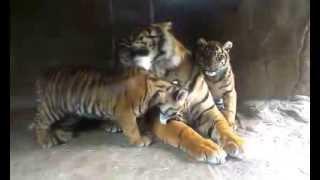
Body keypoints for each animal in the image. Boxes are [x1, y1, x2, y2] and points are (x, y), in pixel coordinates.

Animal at [29, 65, 188, 148]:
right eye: (181, 111)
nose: (185, 121)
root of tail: (44, 75)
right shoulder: (126, 113)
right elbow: (133, 128)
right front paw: (140, 140)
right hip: (53, 108)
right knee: (40, 121)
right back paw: (45, 141)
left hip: (71, 113)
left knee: (63, 124)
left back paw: (64, 136)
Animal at [117, 21, 245, 162]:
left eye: (134, 39)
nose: (120, 48)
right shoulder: (166, 117)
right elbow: (186, 131)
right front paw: (210, 149)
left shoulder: (208, 109)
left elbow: (222, 126)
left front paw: (237, 143)